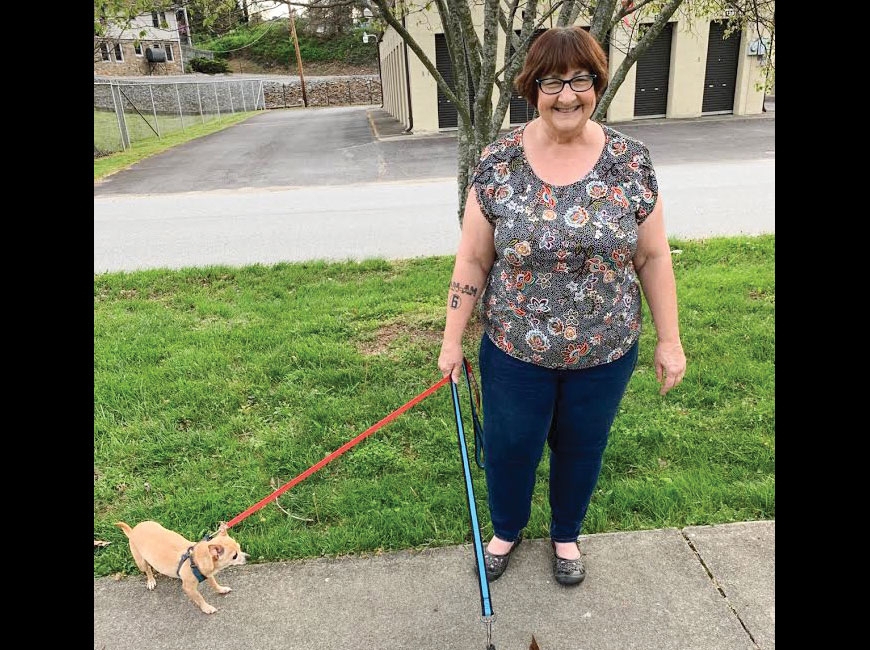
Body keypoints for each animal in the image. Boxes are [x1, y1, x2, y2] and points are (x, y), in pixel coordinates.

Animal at [116, 516, 249, 612]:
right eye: (234, 556)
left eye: (240, 547)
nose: (248, 557)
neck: (196, 559)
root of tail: (133, 530)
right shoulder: (189, 589)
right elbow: (199, 598)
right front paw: (206, 608)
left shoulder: (208, 574)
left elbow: (214, 584)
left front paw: (221, 589)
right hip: (140, 561)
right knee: (147, 569)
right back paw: (151, 581)